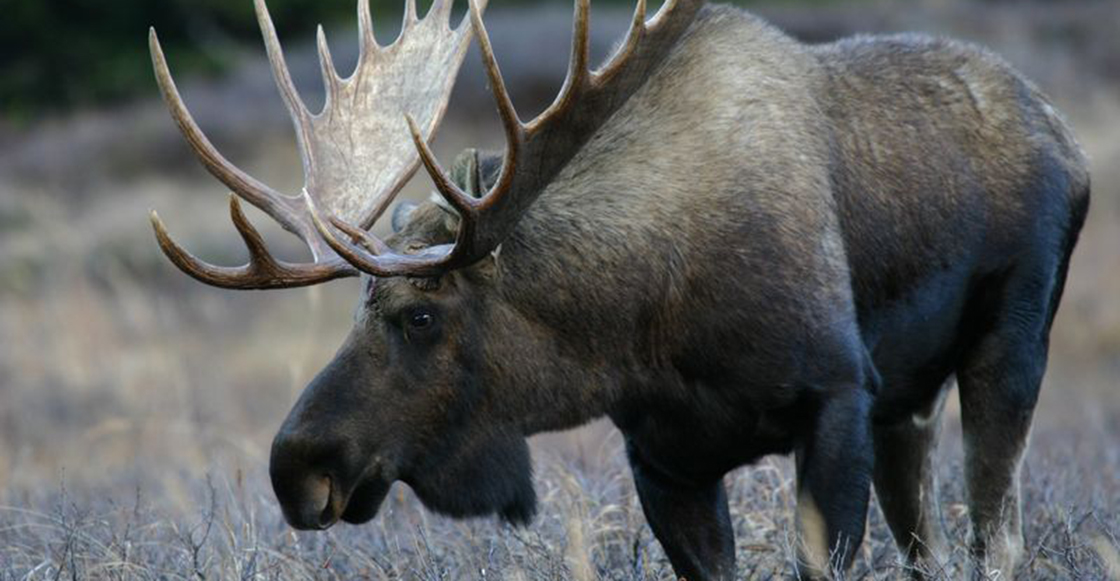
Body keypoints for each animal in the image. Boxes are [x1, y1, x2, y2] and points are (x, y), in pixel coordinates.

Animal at [146, 0, 1084, 573]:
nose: (295, 464)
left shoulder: (839, 396)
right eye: (356, 310)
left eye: (420, 315)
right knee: (933, 545)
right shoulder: (664, 457)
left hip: (1010, 345)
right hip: (911, 404)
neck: (644, 331)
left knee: (996, 538)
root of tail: (1064, 134)